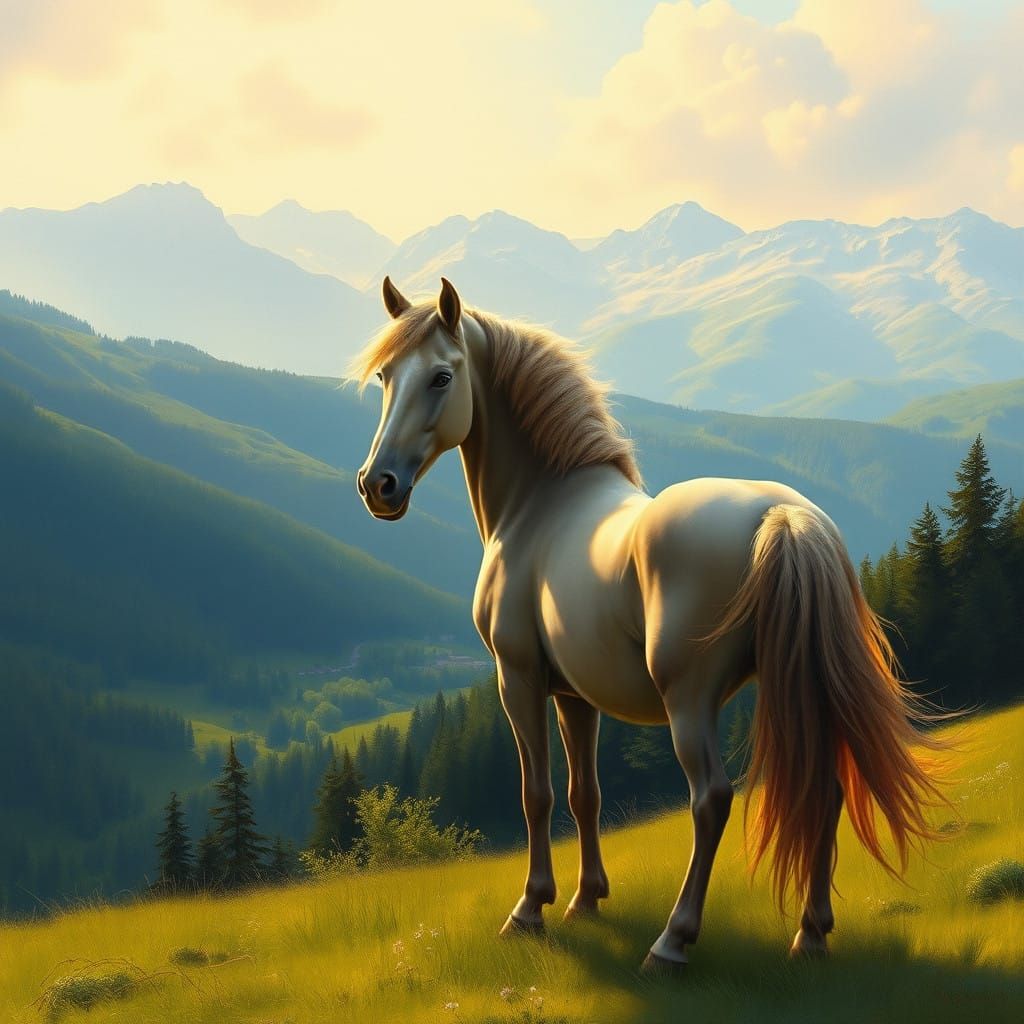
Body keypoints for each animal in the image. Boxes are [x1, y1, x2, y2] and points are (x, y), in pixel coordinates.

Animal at [352, 277, 945, 973]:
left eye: (442, 376)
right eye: (386, 376)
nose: (378, 485)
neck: (542, 505)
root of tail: (785, 518)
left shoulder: (518, 678)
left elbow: (536, 793)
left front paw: (530, 908)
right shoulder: (574, 696)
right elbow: (584, 794)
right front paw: (586, 899)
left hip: (689, 702)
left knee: (711, 798)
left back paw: (673, 941)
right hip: (798, 689)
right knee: (823, 791)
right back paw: (812, 935)